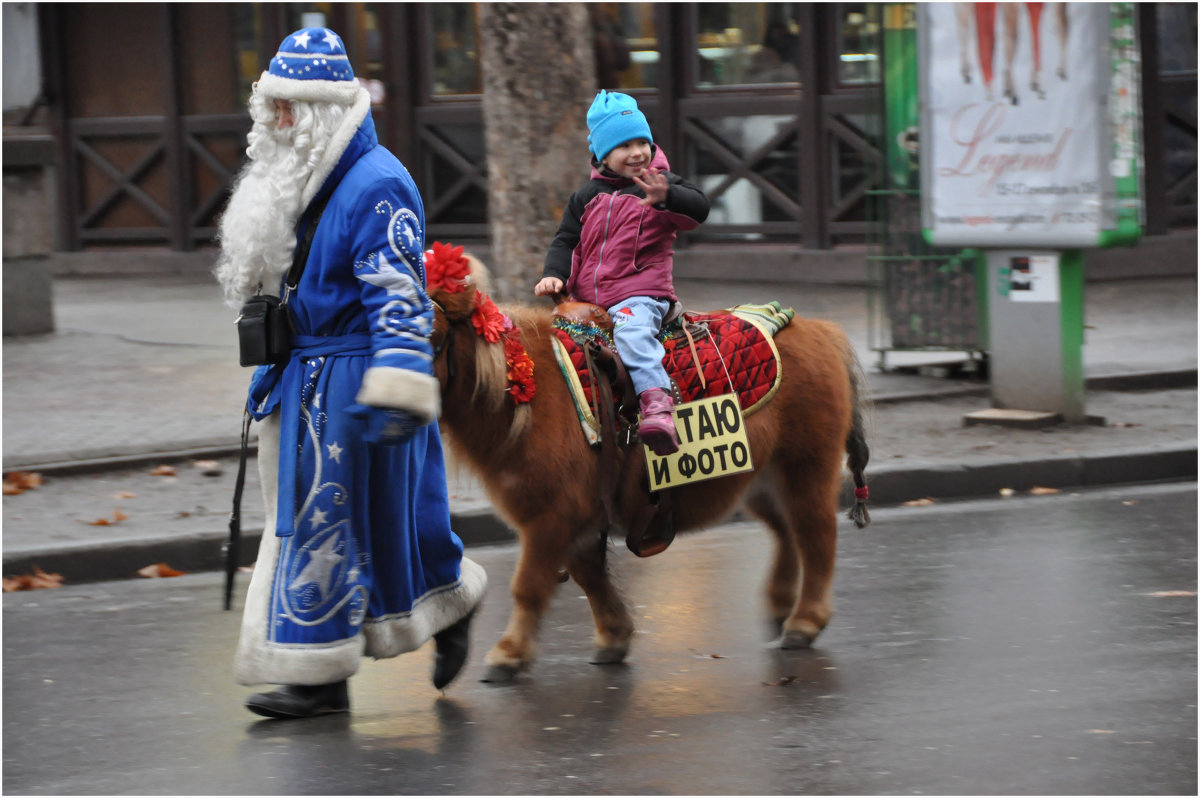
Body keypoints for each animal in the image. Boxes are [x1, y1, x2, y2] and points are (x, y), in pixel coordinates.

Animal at [427, 258, 868, 681]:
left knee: (816, 536)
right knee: (786, 533)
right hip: (761, 480)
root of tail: (821, 331)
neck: (529, 395)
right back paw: (779, 608)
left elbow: (530, 585)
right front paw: (613, 638)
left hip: (806, 471)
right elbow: (589, 577)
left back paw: (803, 623)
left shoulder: (552, 518)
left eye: (431, 335)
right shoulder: (573, 519)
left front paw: (507, 656)